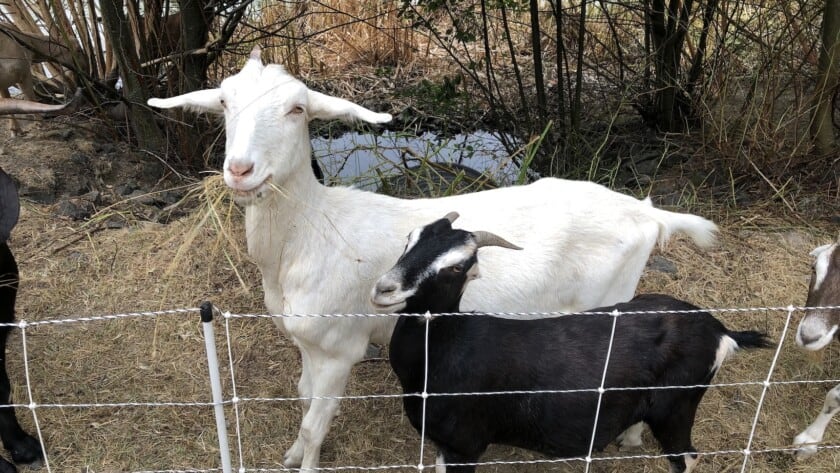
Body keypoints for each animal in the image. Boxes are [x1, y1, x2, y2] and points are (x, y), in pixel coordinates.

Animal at [148, 46, 720, 470]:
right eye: (224, 104)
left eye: (297, 110)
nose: (240, 170)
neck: (311, 235)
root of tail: (647, 212)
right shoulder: (308, 342)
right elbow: (303, 397)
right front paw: (289, 456)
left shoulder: (340, 347)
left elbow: (314, 422)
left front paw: (304, 461)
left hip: (614, 298)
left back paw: (630, 437)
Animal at [378, 214, 772, 472]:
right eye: (410, 239)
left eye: (457, 266)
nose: (384, 289)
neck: (443, 346)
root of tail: (719, 330)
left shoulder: (463, 444)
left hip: (677, 408)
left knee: (686, 458)